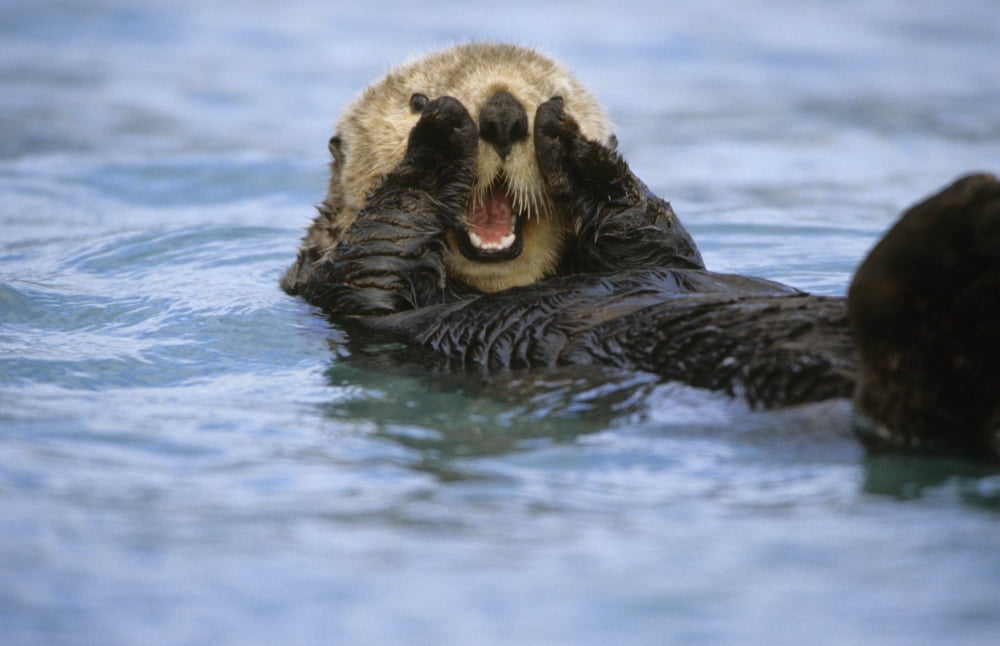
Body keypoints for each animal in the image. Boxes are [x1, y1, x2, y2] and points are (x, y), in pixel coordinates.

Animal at [283, 43, 1000, 459]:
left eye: (552, 93)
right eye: (414, 98)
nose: (504, 113)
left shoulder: (659, 256)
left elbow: (656, 236)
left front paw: (573, 144)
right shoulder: (339, 285)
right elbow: (380, 246)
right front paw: (438, 139)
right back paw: (960, 219)